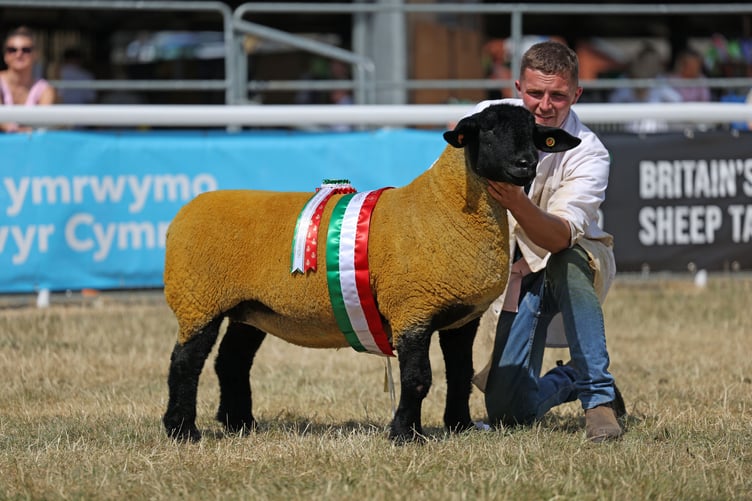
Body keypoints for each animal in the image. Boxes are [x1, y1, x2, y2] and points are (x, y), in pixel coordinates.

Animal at [162, 103, 581, 443]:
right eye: (489, 129)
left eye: (534, 132)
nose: (526, 164)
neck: (445, 207)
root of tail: (187, 211)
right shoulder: (412, 309)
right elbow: (418, 378)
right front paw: (405, 434)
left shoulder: (462, 319)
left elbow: (461, 373)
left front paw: (459, 427)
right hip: (199, 300)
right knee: (185, 362)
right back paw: (182, 430)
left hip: (250, 309)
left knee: (231, 361)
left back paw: (240, 424)